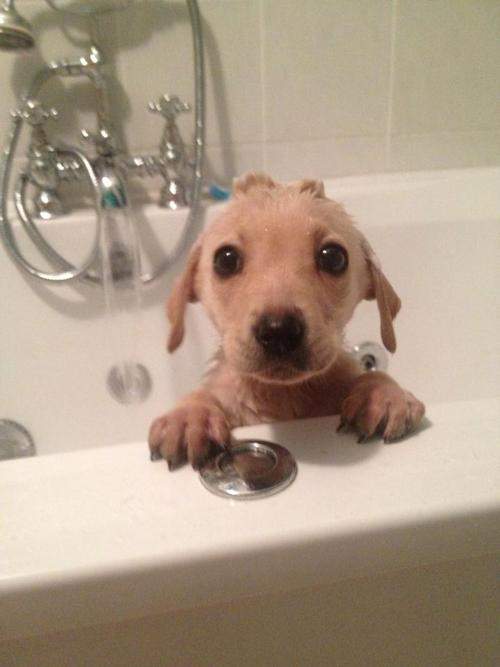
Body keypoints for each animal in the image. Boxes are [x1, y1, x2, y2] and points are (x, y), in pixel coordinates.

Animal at [148, 175, 426, 472]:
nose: (278, 331)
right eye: (225, 259)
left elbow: (373, 375)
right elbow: (205, 393)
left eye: (333, 257)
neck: (281, 395)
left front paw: (383, 393)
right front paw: (189, 414)